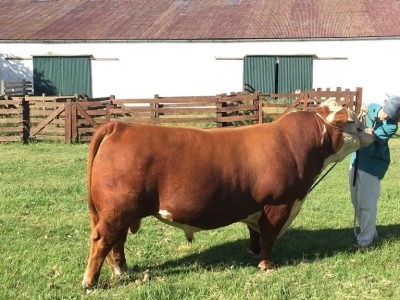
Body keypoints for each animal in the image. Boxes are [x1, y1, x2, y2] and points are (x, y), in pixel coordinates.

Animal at [82, 99, 376, 288]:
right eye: (353, 122)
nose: (373, 132)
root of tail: (121, 127)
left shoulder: (258, 207)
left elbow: (256, 233)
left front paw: (253, 253)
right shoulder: (279, 203)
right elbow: (269, 236)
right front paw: (266, 265)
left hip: (120, 212)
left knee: (116, 242)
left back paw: (121, 271)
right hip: (117, 209)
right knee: (102, 240)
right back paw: (90, 282)